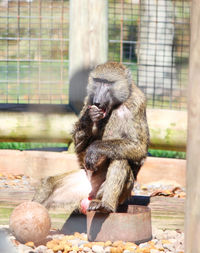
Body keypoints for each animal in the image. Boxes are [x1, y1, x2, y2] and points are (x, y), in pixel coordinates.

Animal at [32, 61, 148, 213]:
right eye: (98, 81)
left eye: (108, 83)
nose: (97, 101)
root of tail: (90, 193)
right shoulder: (88, 100)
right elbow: (78, 146)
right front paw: (89, 117)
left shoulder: (137, 103)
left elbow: (139, 147)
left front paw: (95, 149)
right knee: (48, 184)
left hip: (120, 194)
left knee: (120, 160)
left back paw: (106, 205)